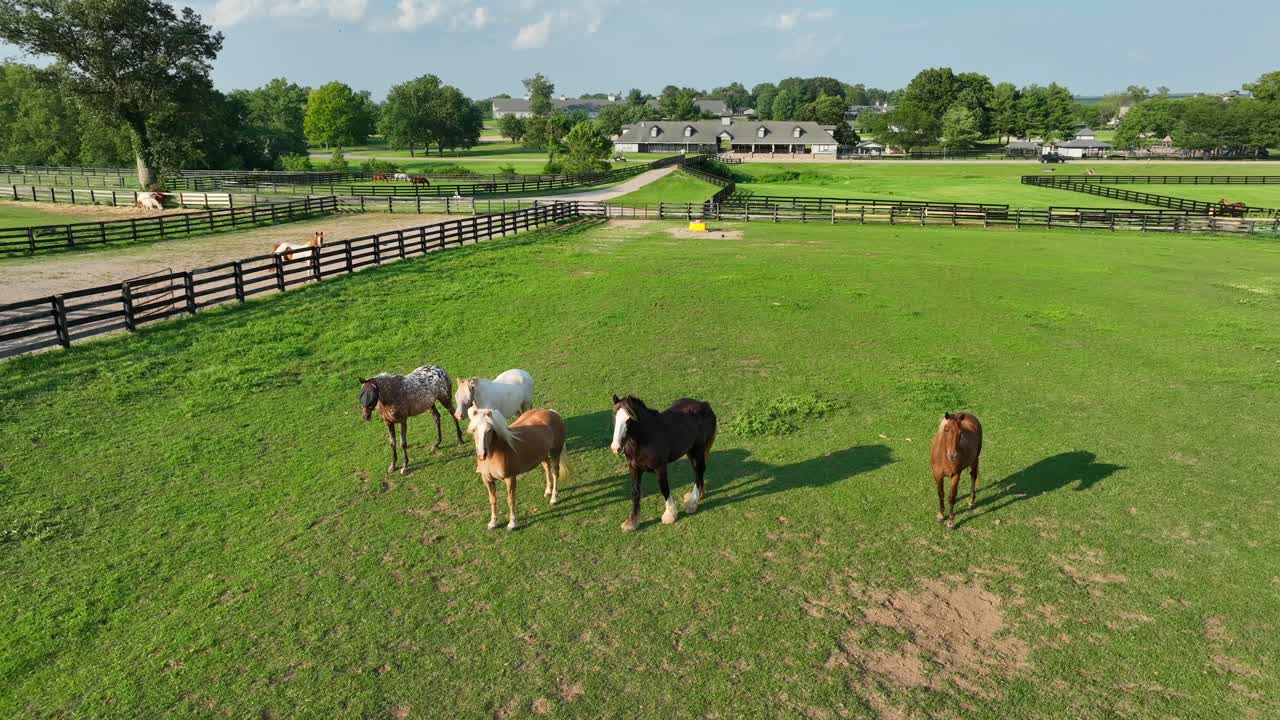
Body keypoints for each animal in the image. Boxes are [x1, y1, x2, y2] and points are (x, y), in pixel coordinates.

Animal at [610, 394, 717, 532]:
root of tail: (705, 405)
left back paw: (692, 503)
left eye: (629, 420)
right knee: (697, 471)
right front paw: (632, 522)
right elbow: (635, 492)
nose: (615, 447)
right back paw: (698, 496)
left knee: (699, 472)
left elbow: (664, 489)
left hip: (698, 450)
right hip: (690, 451)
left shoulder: (660, 467)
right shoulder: (634, 468)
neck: (645, 438)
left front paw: (670, 514)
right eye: (614, 416)